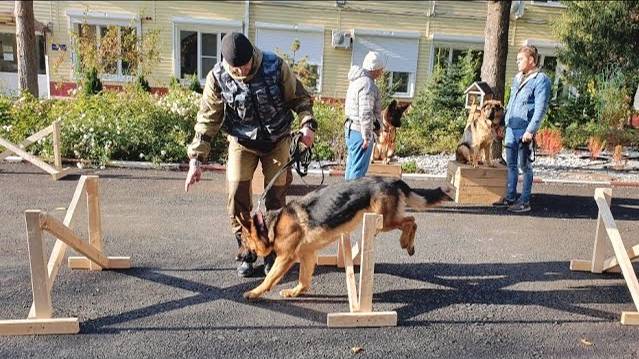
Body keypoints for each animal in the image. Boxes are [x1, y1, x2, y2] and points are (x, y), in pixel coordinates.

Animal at [238, 178, 452, 300]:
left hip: (384, 221)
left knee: (412, 221)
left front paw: (254, 292)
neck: (271, 225)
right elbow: (304, 280)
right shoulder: (307, 256)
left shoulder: (285, 258)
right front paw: (295, 292)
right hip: (384, 221)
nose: (238, 258)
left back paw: (406, 243)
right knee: (411, 220)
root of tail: (392, 180)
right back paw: (408, 244)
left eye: (243, 240)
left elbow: (269, 278)